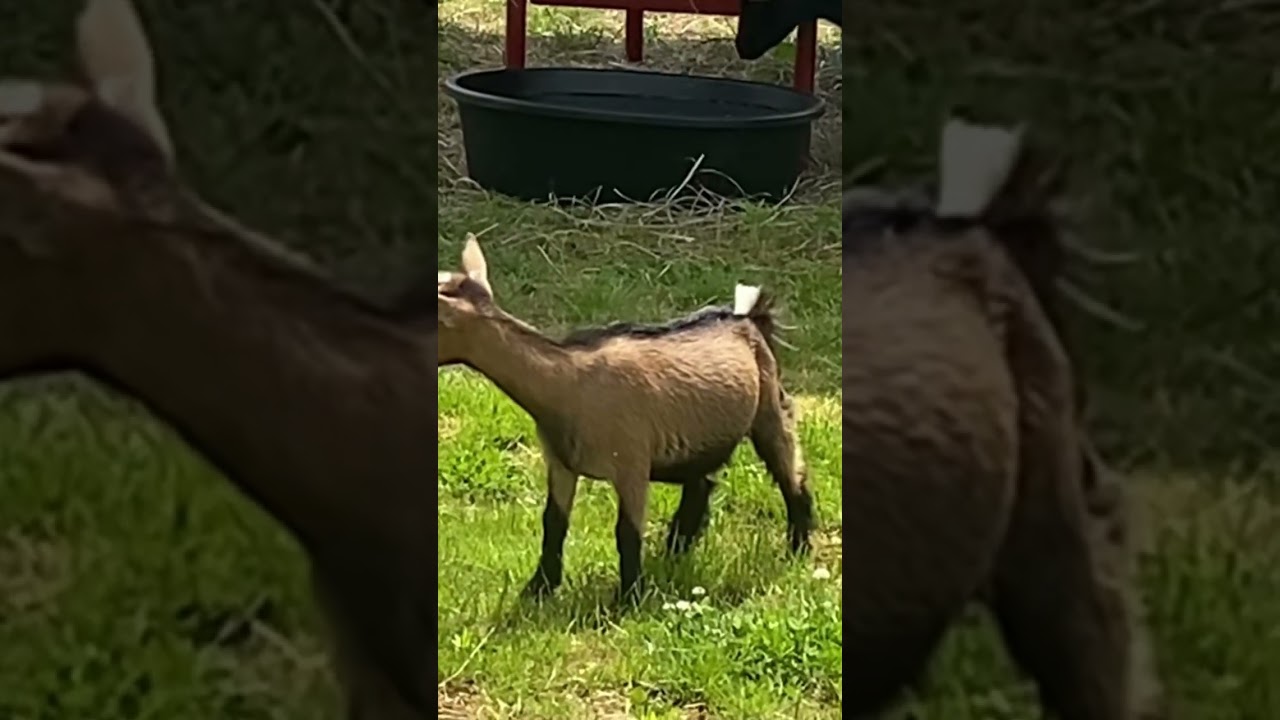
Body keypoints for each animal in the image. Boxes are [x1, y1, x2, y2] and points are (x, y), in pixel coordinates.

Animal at [436, 237, 814, 601]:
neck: (567, 384)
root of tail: (748, 317)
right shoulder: (561, 462)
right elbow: (553, 523)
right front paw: (539, 588)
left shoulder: (632, 463)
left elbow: (627, 533)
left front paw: (629, 598)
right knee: (701, 484)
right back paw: (675, 551)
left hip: (769, 405)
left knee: (789, 471)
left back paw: (799, 548)